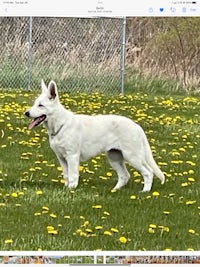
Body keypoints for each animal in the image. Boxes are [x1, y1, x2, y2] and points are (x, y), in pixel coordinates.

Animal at [25, 80, 165, 192]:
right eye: (34, 104)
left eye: (41, 105)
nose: (26, 113)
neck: (60, 125)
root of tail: (137, 127)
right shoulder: (61, 158)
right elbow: (66, 175)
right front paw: (66, 188)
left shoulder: (72, 156)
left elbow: (73, 175)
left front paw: (71, 189)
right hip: (114, 157)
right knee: (125, 176)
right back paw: (114, 190)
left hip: (132, 156)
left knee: (148, 172)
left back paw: (145, 191)